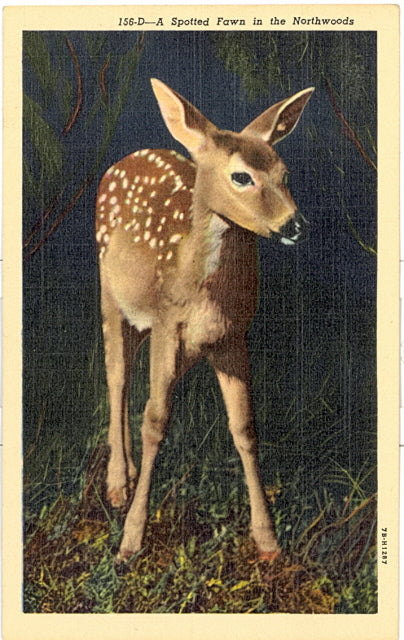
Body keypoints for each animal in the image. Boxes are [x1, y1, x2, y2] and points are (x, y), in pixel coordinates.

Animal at [95, 79, 314, 563]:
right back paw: (117, 483)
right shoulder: (166, 324)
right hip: (109, 294)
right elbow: (155, 421)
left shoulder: (234, 336)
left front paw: (268, 541)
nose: (294, 225)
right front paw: (130, 541)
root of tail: (127, 156)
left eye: (285, 173)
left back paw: (128, 475)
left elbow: (245, 427)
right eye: (241, 176)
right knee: (116, 376)